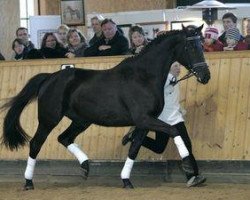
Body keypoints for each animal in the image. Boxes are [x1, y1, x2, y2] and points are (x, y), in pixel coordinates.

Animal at [1, 24, 210, 189]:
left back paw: (85, 167)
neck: (144, 76)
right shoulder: (144, 119)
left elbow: (134, 148)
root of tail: (49, 78)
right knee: (36, 144)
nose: (205, 76)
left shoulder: (144, 123)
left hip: (81, 121)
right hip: (49, 119)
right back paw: (28, 183)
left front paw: (126, 180)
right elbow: (174, 130)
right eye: (190, 46)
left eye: (201, 45)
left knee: (64, 138)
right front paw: (188, 166)